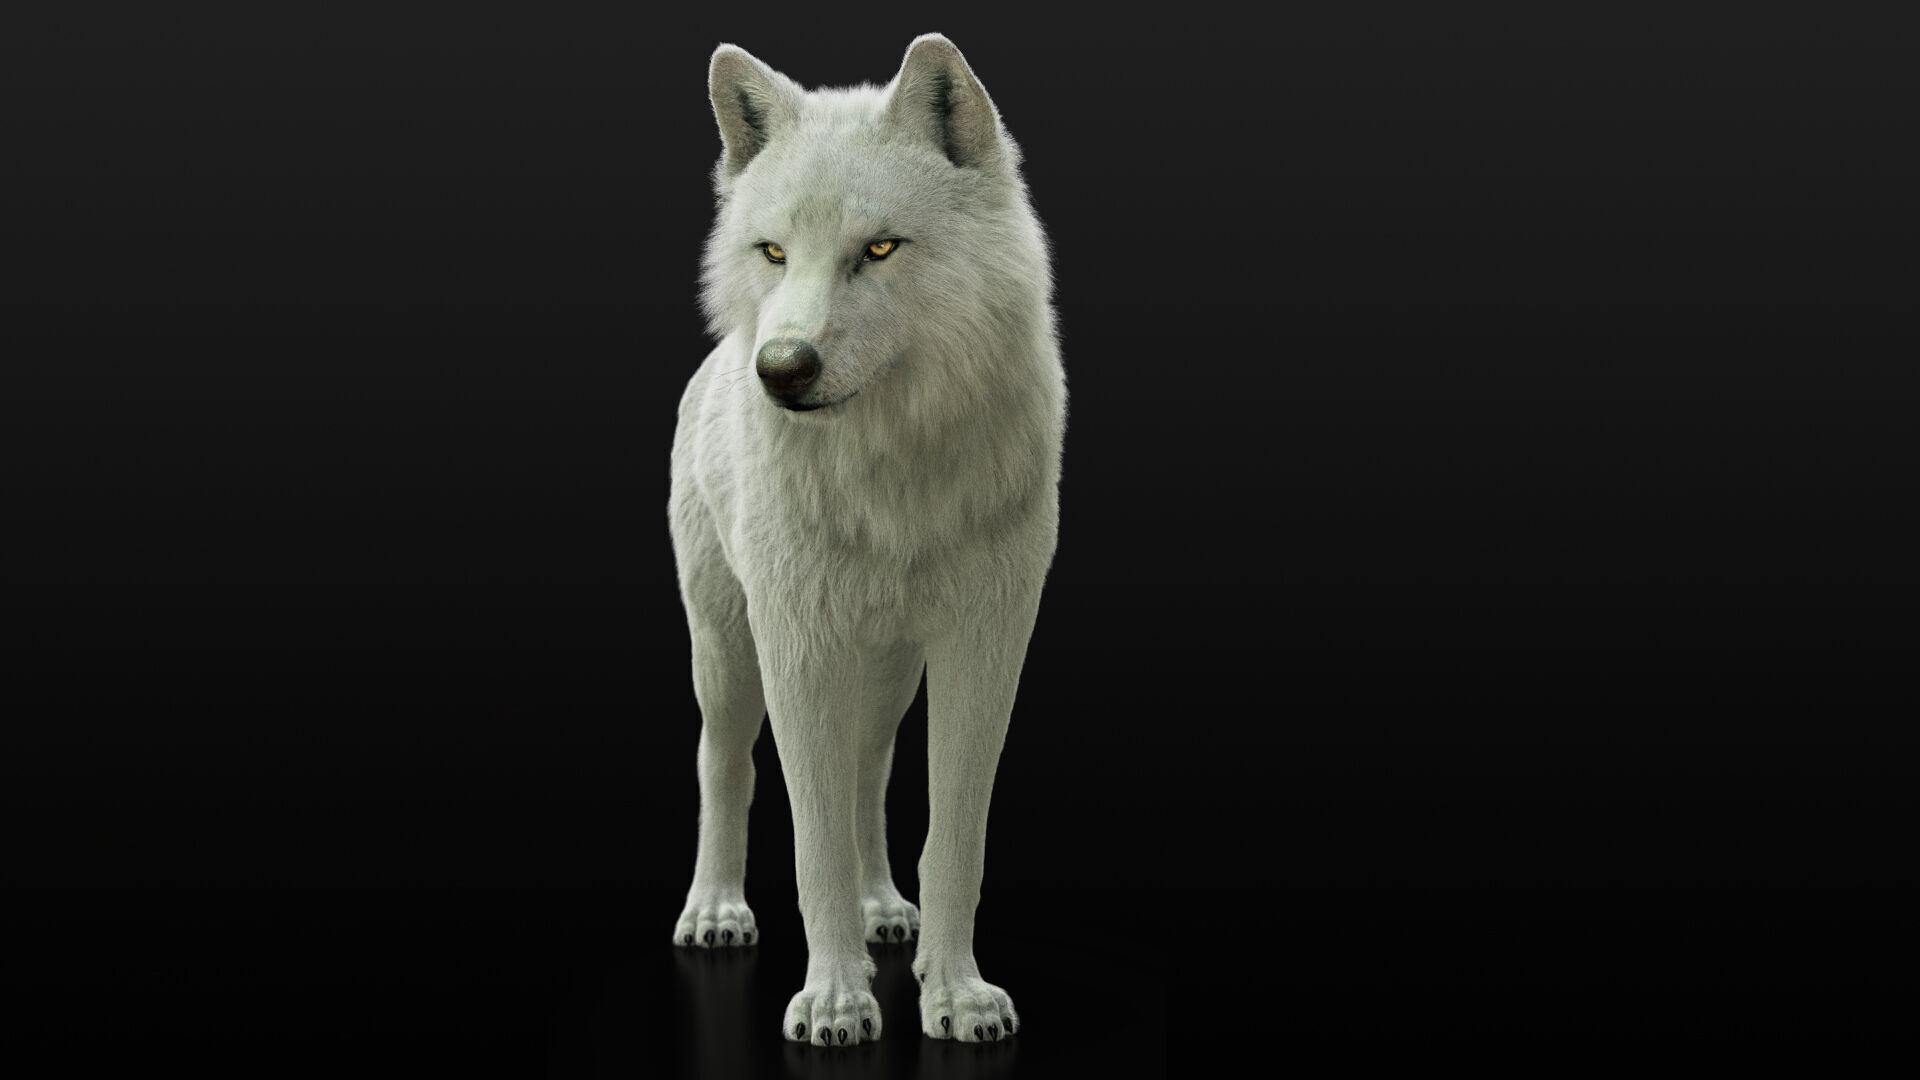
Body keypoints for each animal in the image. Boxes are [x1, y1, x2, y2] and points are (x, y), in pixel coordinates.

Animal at [667, 33, 1064, 1048]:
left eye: (879, 248)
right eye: (773, 252)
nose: (779, 369)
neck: (895, 478)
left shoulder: (986, 645)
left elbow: (952, 836)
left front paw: (955, 992)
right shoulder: (799, 648)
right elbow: (811, 846)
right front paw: (837, 1002)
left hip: (885, 674)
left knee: (866, 776)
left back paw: (886, 910)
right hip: (728, 651)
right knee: (724, 764)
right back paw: (715, 910)